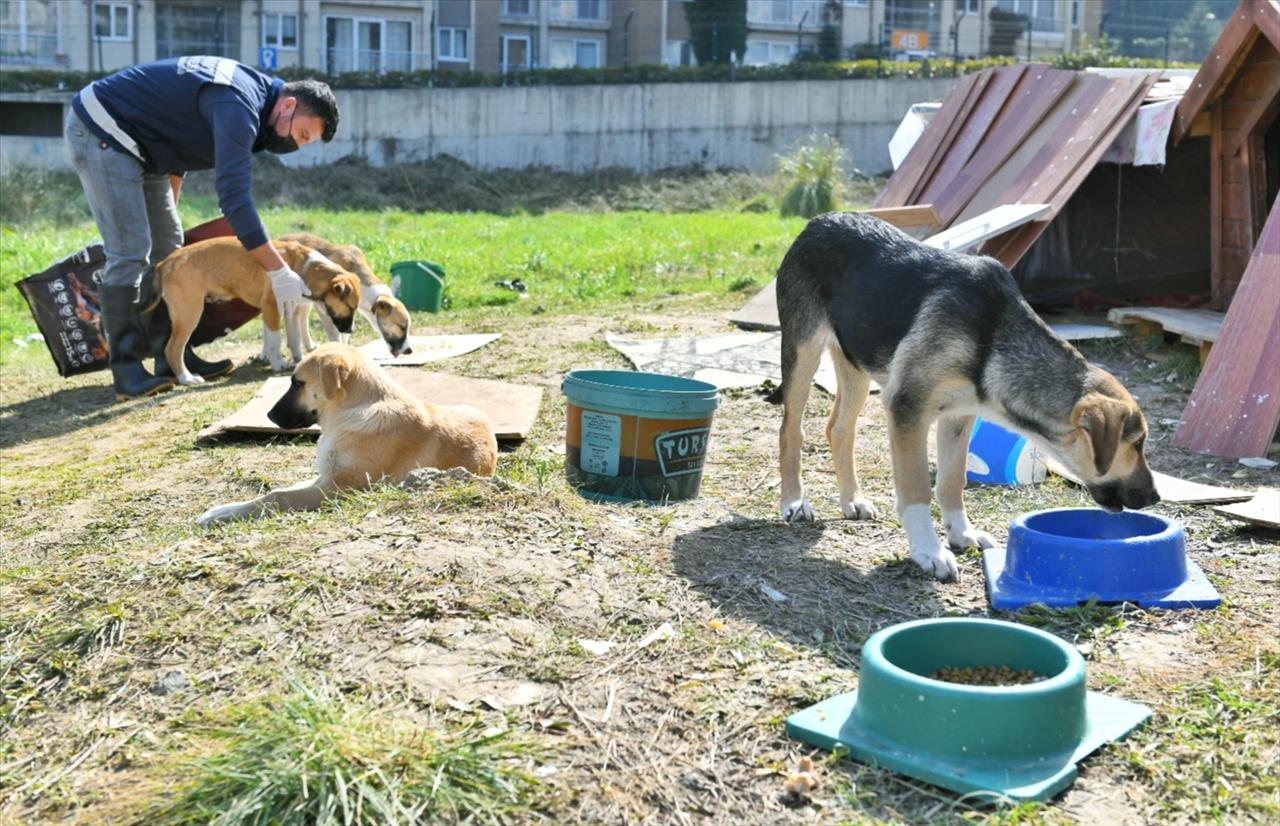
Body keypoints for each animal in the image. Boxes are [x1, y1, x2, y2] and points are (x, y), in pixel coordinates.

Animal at [159, 235, 363, 384]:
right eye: (350, 306)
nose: (350, 330)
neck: (304, 268)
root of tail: (166, 262)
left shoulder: (291, 309)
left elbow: (295, 339)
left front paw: (298, 359)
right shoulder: (271, 309)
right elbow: (275, 341)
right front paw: (279, 364)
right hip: (189, 314)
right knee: (172, 349)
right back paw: (186, 378)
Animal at [197, 340, 496, 522]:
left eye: (297, 383)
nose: (269, 415)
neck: (350, 413)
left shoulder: (337, 488)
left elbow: (277, 496)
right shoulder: (326, 477)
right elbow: (281, 489)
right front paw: (219, 511)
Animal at [280, 230, 414, 356]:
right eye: (402, 327)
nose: (409, 351)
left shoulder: (346, 314)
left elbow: (344, 335)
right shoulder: (328, 311)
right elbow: (335, 334)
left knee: (303, 317)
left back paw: (308, 345)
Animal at [768, 213, 1162, 578]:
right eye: (1137, 443)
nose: (1155, 497)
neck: (992, 338)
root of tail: (819, 221)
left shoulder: (959, 415)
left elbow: (952, 480)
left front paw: (961, 534)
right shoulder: (907, 408)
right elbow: (917, 488)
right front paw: (929, 551)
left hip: (856, 365)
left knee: (839, 429)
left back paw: (853, 500)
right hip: (803, 351)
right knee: (791, 430)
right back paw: (795, 501)